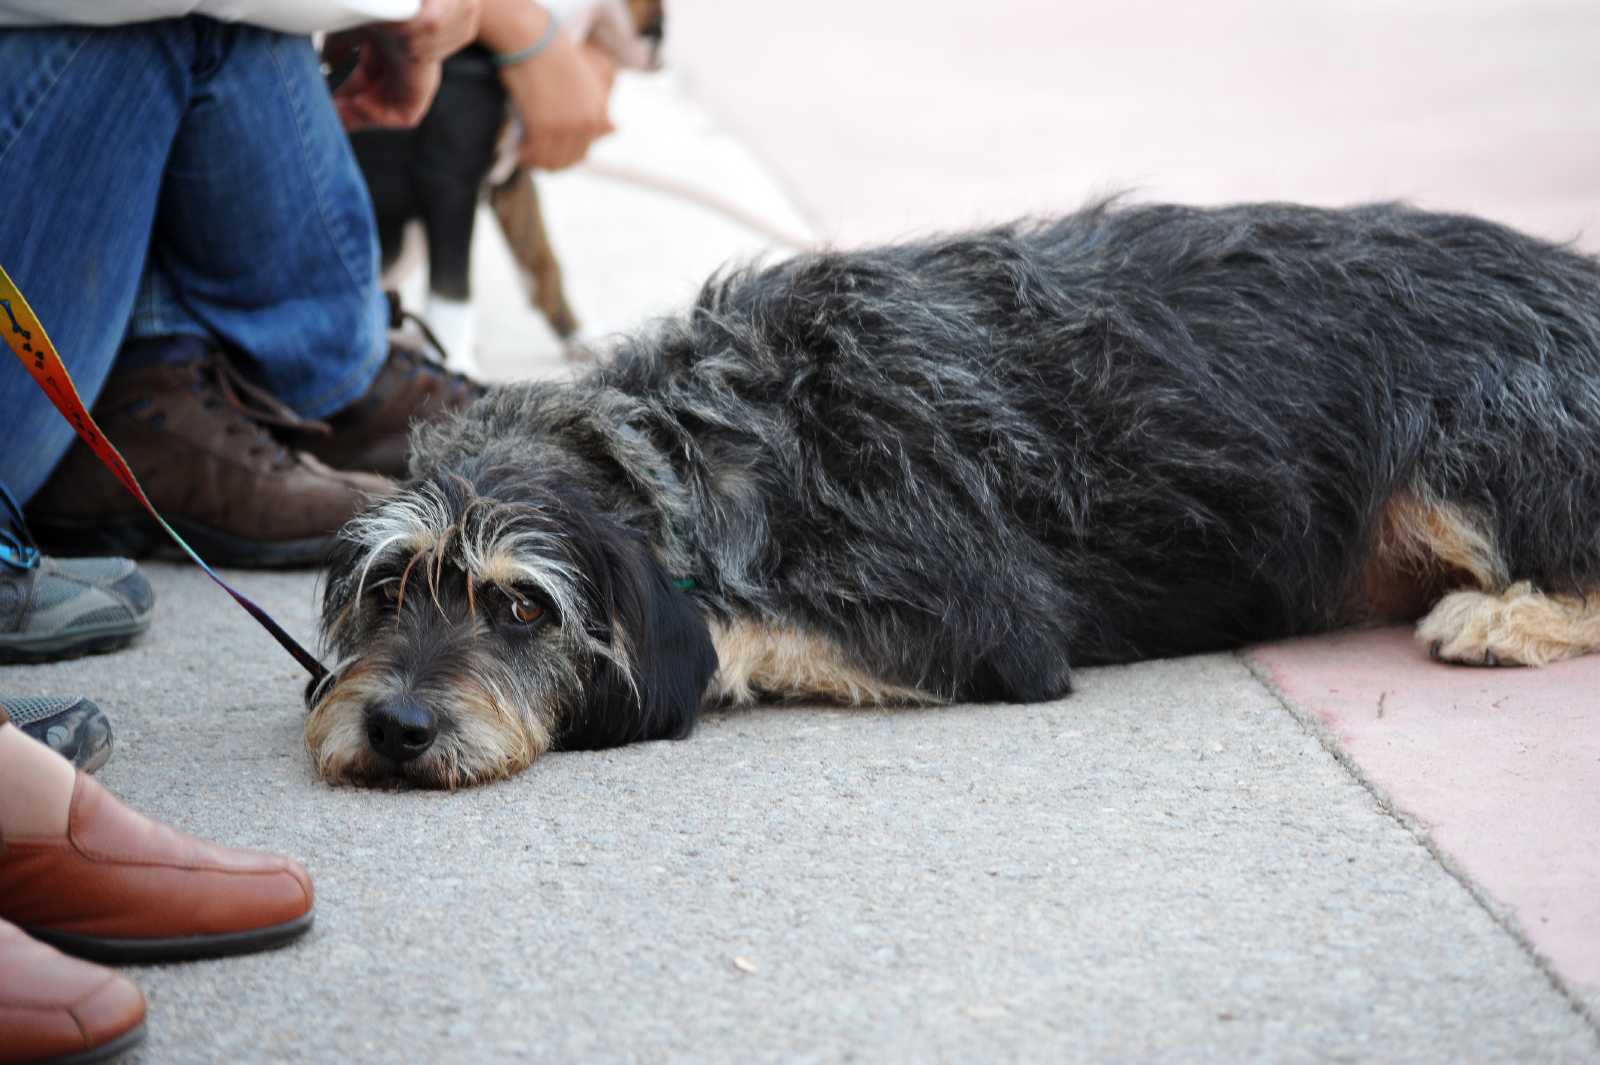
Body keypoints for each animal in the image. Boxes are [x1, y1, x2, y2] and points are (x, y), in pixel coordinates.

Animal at [305, 199, 1600, 783]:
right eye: (387, 592)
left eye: (522, 605)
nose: (397, 727)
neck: (709, 436)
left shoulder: (987, 623)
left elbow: (744, 630)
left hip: (1467, 444)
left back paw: (1504, 615)